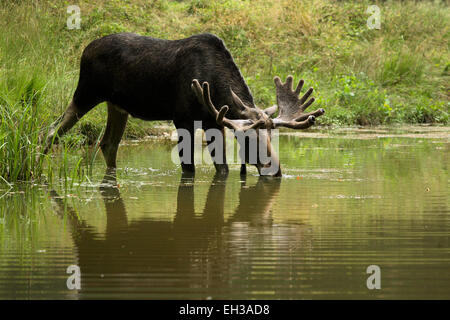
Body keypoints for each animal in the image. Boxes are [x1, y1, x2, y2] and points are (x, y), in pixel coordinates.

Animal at [44, 32, 326, 176]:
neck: (214, 87)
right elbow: (188, 168)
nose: (275, 170)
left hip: (117, 106)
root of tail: (84, 50)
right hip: (86, 92)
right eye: (246, 139)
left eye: (272, 136)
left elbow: (222, 168)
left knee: (107, 143)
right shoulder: (181, 118)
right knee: (52, 130)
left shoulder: (214, 120)